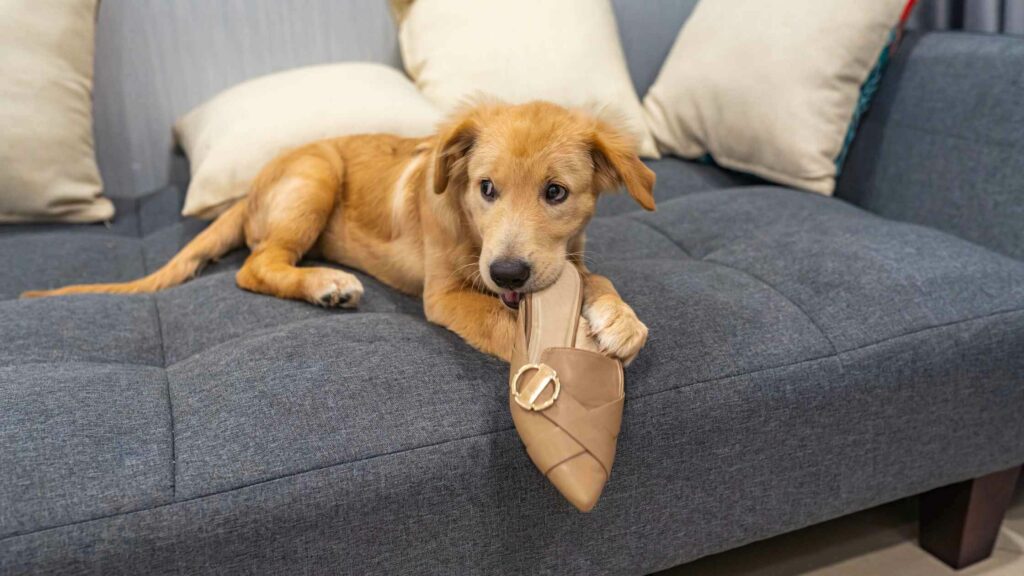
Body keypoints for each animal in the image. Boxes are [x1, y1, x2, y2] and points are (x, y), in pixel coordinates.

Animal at [25, 100, 655, 360]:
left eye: (556, 194)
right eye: (486, 189)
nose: (507, 272)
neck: (474, 235)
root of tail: (249, 190)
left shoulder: (565, 259)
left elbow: (594, 280)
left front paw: (621, 321)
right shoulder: (446, 295)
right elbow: (505, 325)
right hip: (316, 176)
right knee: (255, 266)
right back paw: (326, 284)